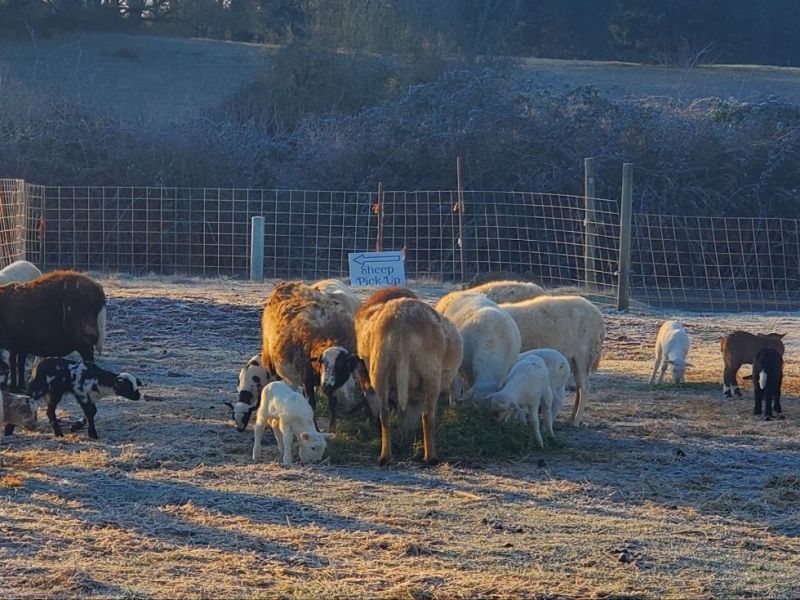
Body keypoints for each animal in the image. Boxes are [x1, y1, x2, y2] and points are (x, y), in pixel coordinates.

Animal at [261, 281, 358, 430]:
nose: (326, 386)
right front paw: (316, 428)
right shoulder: (306, 376)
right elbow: (312, 403)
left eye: (341, 365)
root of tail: (287, 283)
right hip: (272, 359)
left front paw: (332, 427)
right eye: (322, 362)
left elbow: (333, 401)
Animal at [356, 297, 451, 465]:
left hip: (380, 367)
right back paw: (431, 457)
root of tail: (402, 329)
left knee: (384, 413)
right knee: (428, 415)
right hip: (431, 372)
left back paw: (385, 456)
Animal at [500, 295, 605, 426]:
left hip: (583, 354)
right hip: (574, 360)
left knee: (585, 388)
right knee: (579, 388)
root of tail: (597, 312)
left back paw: (576, 421)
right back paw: (571, 418)